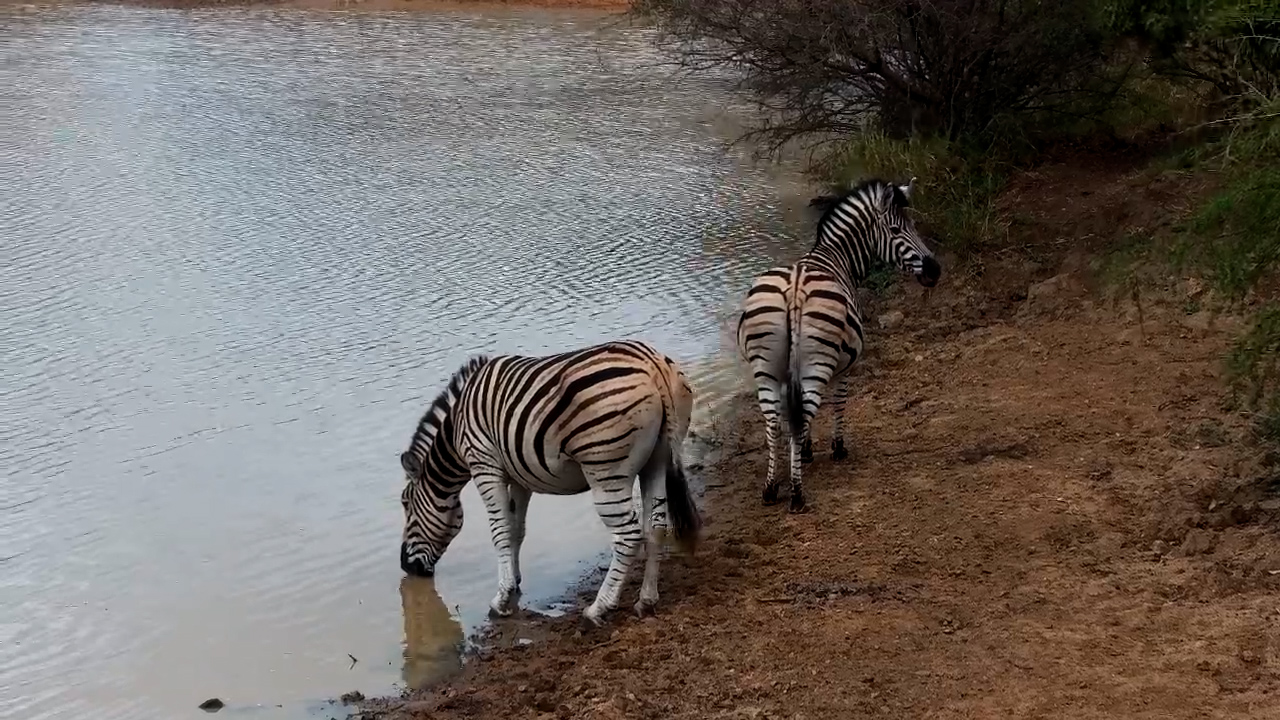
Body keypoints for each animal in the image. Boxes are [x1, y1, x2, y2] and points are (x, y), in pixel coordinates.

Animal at [398, 340, 702, 626]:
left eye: (405, 504)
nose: (405, 566)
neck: (458, 427)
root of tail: (651, 363)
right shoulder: (519, 477)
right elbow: (516, 531)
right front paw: (514, 583)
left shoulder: (484, 465)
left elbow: (499, 532)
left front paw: (500, 599)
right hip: (657, 460)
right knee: (656, 527)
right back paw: (646, 601)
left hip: (606, 471)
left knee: (628, 536)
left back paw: (598, 608)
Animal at [735, 178, 941, 513]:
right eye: (897, 229)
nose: (935, 270)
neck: (835, 257)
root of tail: (794, 292)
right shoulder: (846, 366)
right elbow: (839, 403)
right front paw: (836, 447)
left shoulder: (790, 373)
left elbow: (792, 416)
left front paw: (805, 450)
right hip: (818, 364)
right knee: (804, 412)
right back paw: (797, 494)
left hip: (765, 368)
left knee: (773, 422)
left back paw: (770, 489)